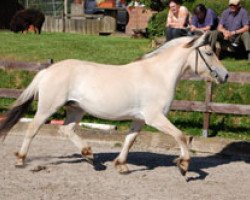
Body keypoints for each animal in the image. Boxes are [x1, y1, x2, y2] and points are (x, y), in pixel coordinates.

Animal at [0, 33, 229, 177]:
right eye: (209, 53)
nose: (225, 76)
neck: (158, 75)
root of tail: (47, 70)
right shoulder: (155, 118)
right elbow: (180, 136)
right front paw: (183, 165)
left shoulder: (139, 119)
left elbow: (129, 140)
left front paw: (121, 166)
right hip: (48, 107)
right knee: (32, 128)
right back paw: (21, 160)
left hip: (76, 109)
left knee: (66, 130)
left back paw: (89, 155)